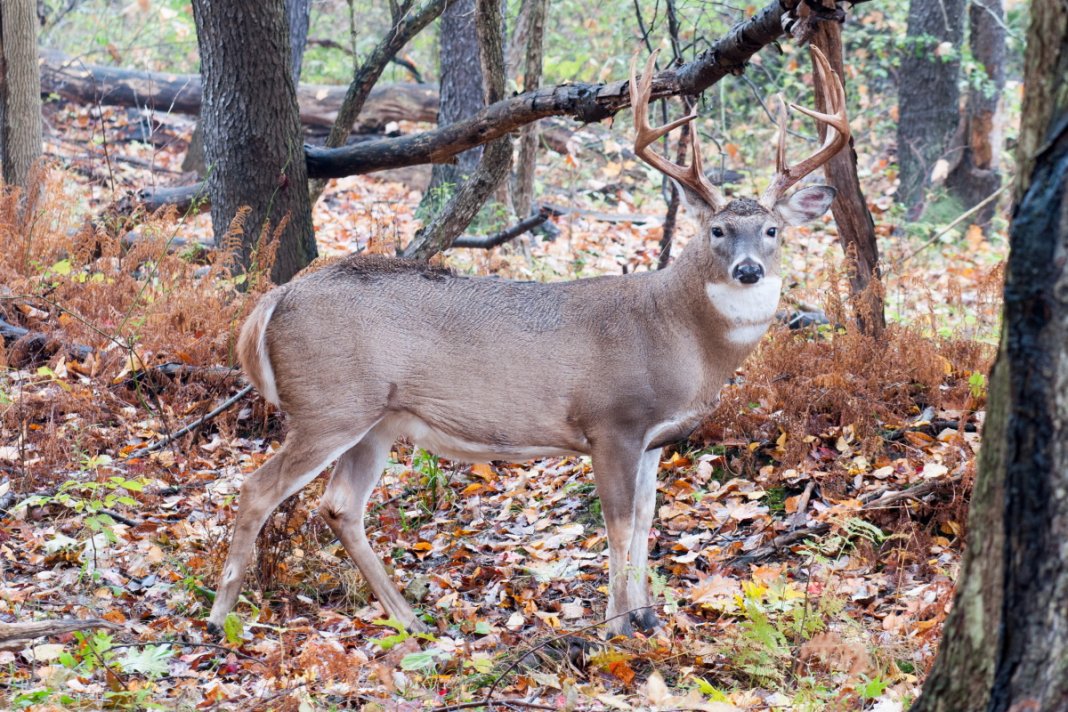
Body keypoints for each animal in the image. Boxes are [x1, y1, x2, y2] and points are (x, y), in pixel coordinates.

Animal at [203, 50, 845, 640]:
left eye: (772, 230)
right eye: (717, 230)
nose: (747, 270)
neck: (675, 333)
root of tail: (275, 299)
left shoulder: (656, 438)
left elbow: (644, 520)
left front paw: (648, 617)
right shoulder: (611, 422)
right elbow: (616, 525)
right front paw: (615, 626)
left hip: (376, 420)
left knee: (339, 505)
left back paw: (411, 620)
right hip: (329, 403)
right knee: (257, 489)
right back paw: (220, 618)